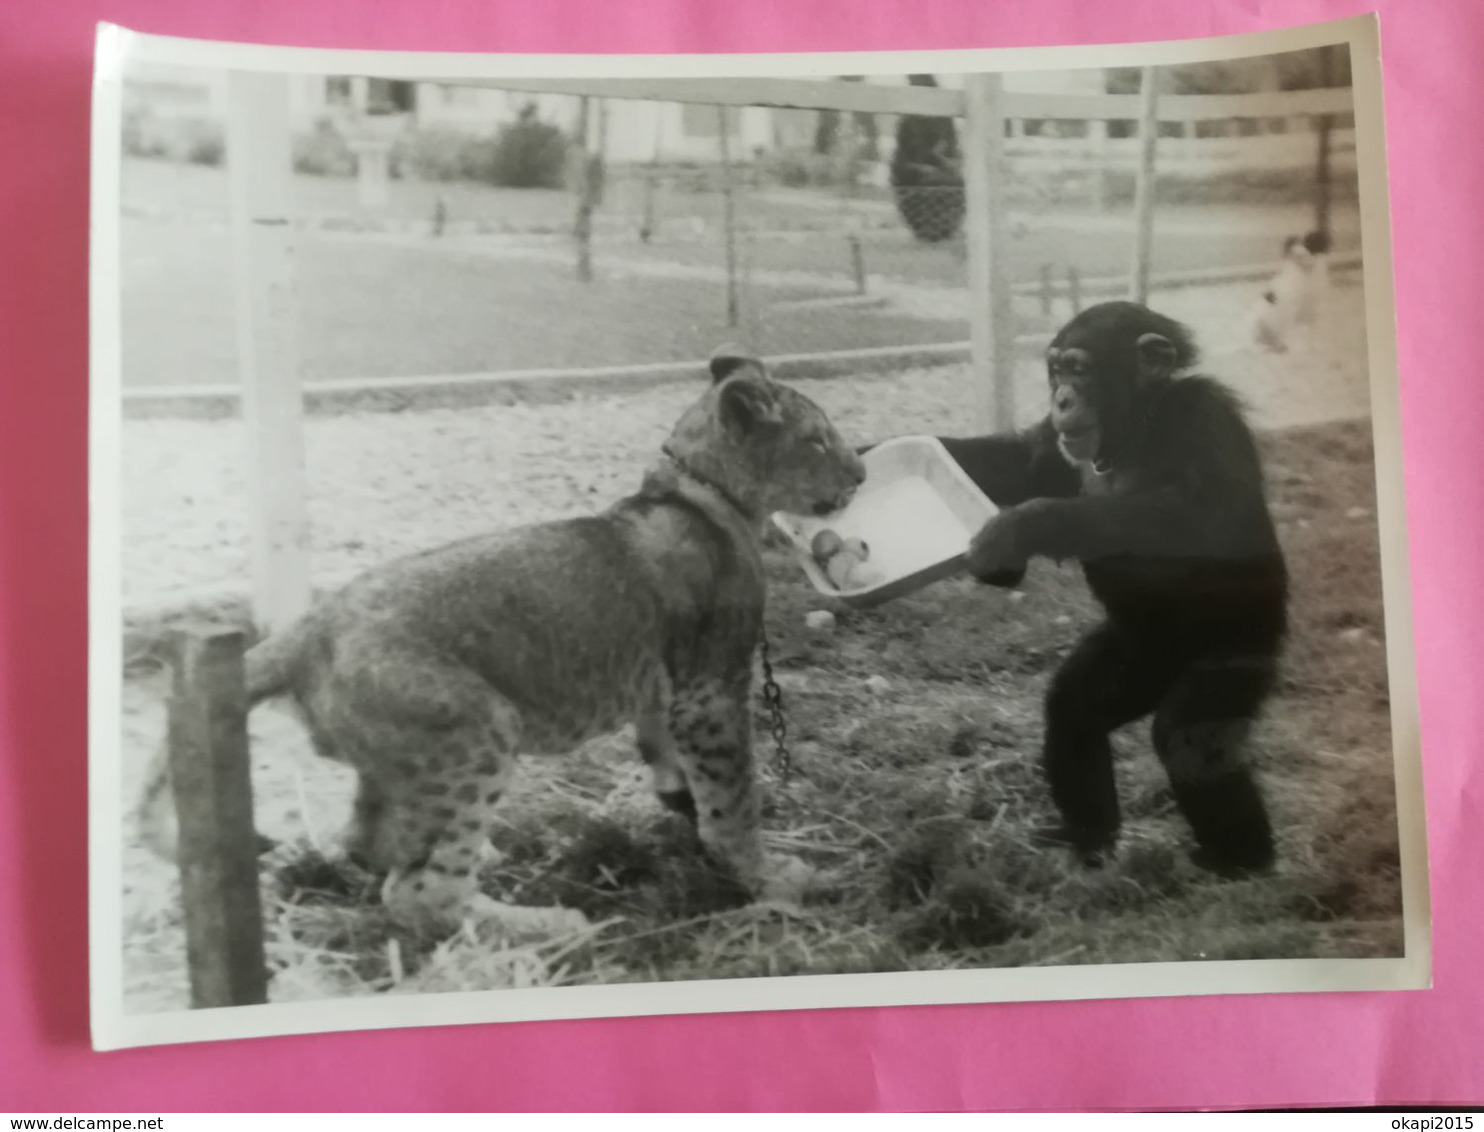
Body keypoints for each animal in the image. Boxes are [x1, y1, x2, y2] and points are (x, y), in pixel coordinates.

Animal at [931, 301, 1282, 878]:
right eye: (1055, 371)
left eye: (1081, 370)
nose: (1061, 398)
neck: (1135, 430)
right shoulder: (1054, 447)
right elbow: (1013, 464)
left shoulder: (1206, 418)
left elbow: (1203, 520)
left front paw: (1021, 527)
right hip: (1132, 656)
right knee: (1073, 708)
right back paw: (1089, 839)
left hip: (1238, 655)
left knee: (1189, 738)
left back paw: (1241, 865)